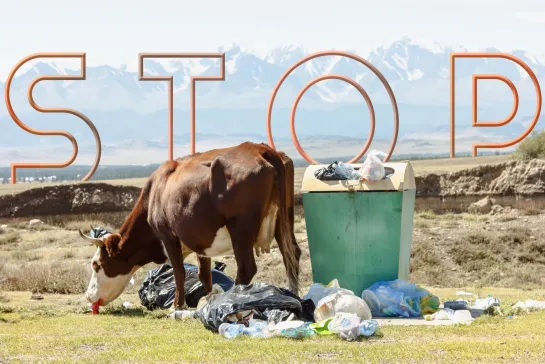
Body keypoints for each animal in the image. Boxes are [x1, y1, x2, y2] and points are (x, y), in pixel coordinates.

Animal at [79, 141, 302, 310]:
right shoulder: (201, 243)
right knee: (291, 255)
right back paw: (293, 295)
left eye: (96, 264)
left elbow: (179, 271)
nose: (88, 297)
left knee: (246, 267)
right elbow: (205, 275)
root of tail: (259, 149)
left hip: (240, 229)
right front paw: (207, 299)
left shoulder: (168, 236)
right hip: (283, 220)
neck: (156, 191)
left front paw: (177, 305)